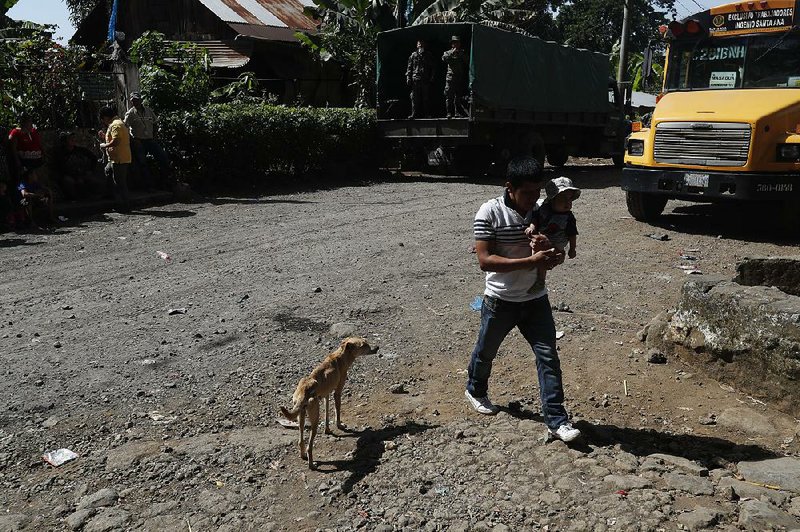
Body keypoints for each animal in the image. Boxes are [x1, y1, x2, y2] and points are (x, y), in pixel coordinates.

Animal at [280, 338, 380, 468]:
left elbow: (327, 414)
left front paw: (327, 430)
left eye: (366, 341)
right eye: (364, 345)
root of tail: (303, 391)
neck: (341, 356)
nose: (377, 347)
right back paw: (312, 464)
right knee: (309, 446)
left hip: (301, 417)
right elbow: (337, 411)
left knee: (301, 441)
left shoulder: (326, 395)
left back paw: (303, 456)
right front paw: (340, 425)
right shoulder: (337, 392)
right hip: (314, 419)